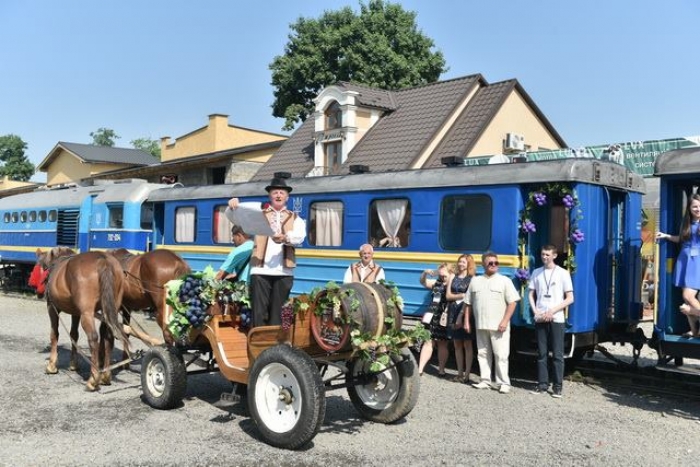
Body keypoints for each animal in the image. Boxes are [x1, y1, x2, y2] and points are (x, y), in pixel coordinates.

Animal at [36, 249, 130, 392]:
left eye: (41, 267)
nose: (38, 292)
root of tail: (103, 260)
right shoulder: (76, 312)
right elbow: (74, 335)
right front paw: (73, 364)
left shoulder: (52, 307)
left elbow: (54, 334)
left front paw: (51, 365)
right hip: (109, 308)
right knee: (108, 338)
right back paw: (105, 376)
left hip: (87, 313)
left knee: (93, 338)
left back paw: (93, 380)